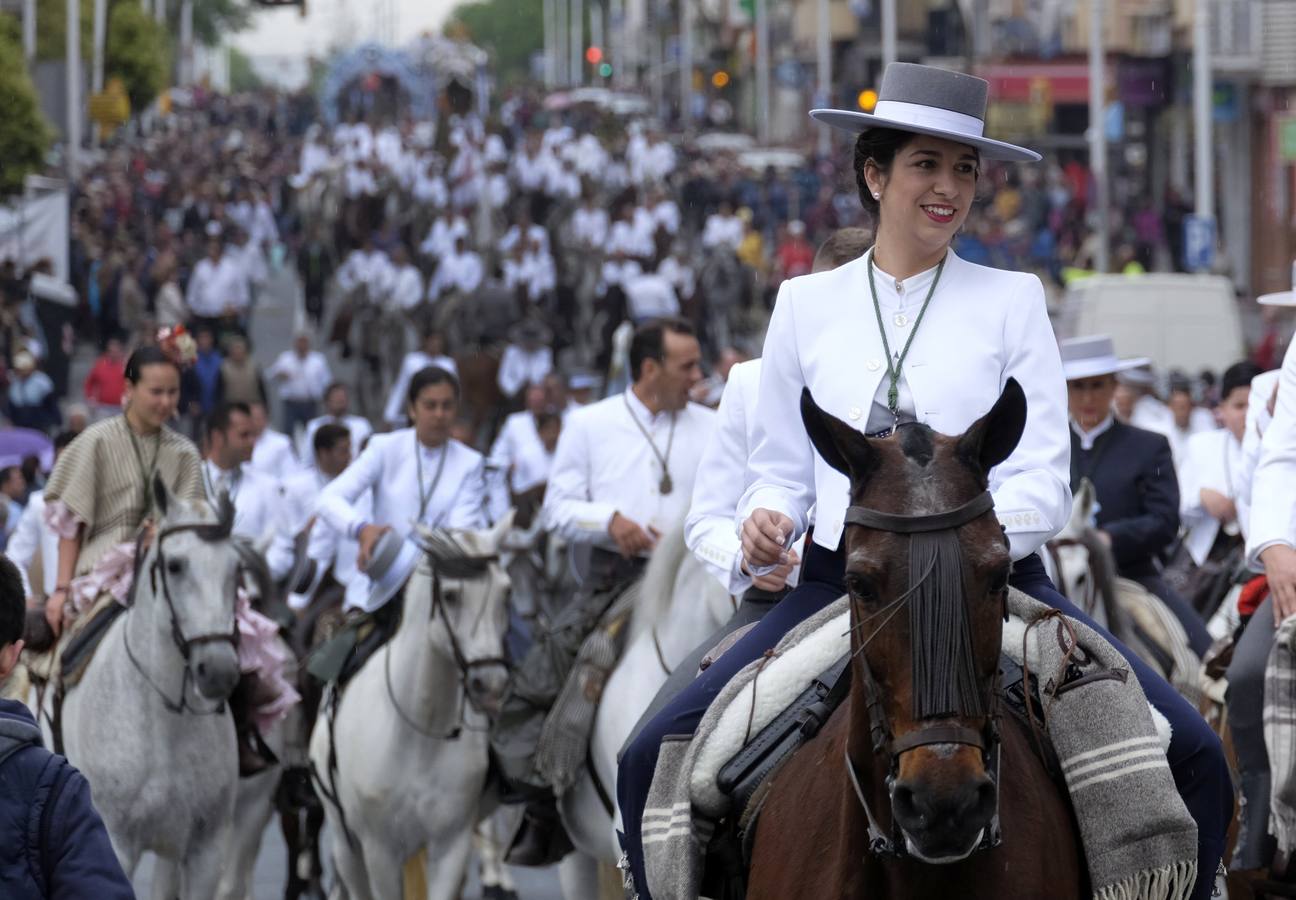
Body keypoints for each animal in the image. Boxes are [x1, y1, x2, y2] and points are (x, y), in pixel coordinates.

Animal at [58, 482, 244, 897]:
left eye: (236, 570)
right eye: (175, 565)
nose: (219, 671)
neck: (165, 717)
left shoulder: (207, 848)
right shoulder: (115, 841)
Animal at [311, 518, 513, 900]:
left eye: (504, 591)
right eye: (449, 595)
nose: (491, 683)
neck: (420, 729)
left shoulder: (450, 845)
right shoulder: (380, 850)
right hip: (346, 843)